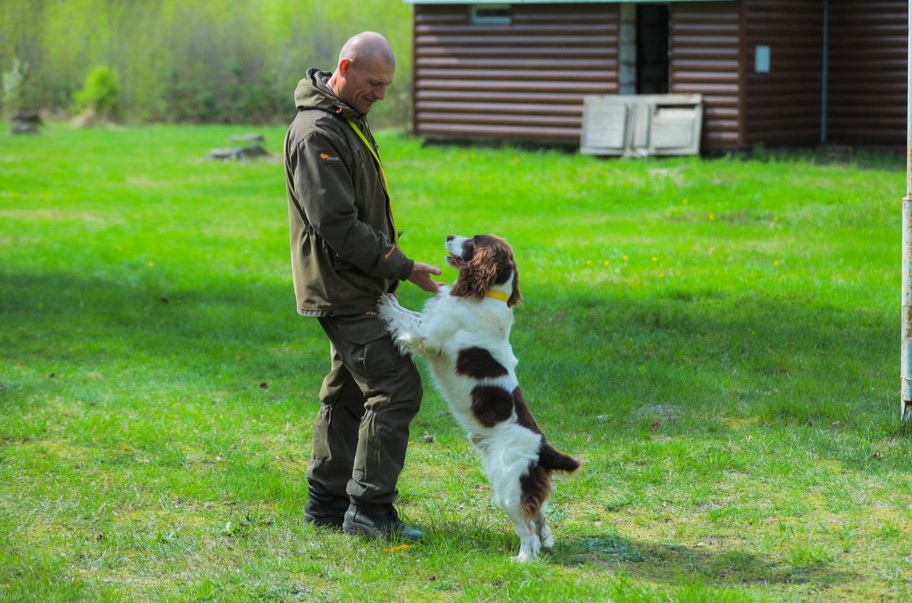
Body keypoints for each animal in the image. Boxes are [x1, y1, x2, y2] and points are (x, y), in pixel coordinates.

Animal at [376, 235, 576, 560]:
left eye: (474, 241)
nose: (448, 236)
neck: (486, 294)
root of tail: (541, 447)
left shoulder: (429, 336)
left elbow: (406, 321)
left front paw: (385, 302)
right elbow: (411, 314)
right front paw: (390, 298)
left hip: (508, 485)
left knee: (527, 528)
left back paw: (522, 559)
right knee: (539, 515)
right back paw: (546, 541)